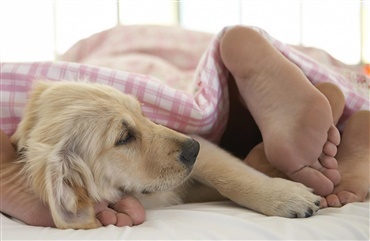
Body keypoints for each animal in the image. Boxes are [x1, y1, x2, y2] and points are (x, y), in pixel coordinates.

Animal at [11, 81, 320, 230]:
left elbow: (229, 175)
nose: (193, 149)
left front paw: (285, 196)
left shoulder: (204, 146)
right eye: (124, 138)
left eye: (142, 113)